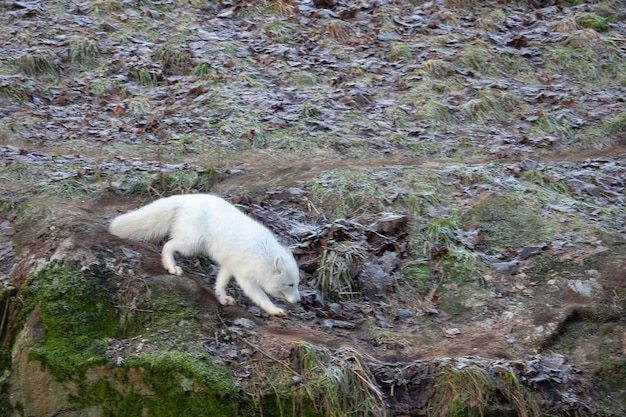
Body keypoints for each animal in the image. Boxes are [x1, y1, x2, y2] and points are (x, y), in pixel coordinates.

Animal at [108, 193, 300, 314]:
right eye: (290, 284)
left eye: (297, 284)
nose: (298, 301)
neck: (263, 254)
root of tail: (187, 198)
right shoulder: (245, 277)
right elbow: (260, 297)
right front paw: (274, 310)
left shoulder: (229, 266)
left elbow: (221, 282)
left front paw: (222, 298)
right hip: (192, 244)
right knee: (169, 245)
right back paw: (171, 267)